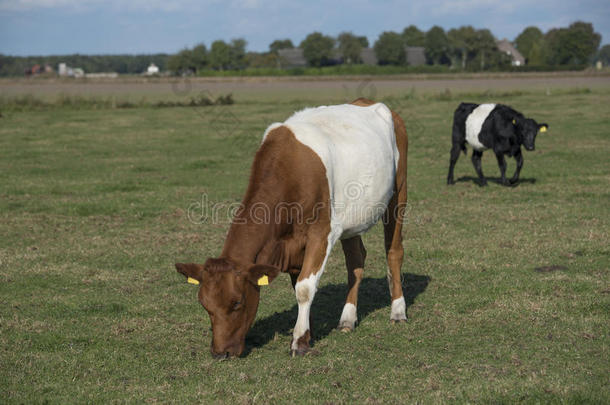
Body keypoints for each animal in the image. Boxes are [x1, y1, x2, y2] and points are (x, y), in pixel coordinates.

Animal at [173, 98, 406, 356]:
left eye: (237, 302)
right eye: (204, 304)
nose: (220, 352)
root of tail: (369, 102)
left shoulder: (321, 233)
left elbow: (304, 287)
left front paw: (299, 341)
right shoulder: (293, 245)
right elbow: (299, 285)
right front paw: (307, 333)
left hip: (398, 192)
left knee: (394, 251)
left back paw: (398, 311)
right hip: (352, 218)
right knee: (355, 260)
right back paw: (347, 319)